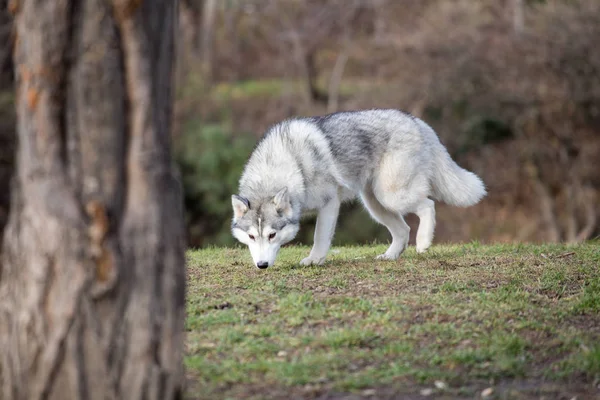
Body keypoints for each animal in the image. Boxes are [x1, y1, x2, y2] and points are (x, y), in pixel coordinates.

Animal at [231, 110, 488, 268]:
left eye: (272, 235)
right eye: (251, 236)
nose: (262, 265)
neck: (286, 162)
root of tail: (415, 120)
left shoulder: (330, 203)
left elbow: (319, 237)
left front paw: (315, 260)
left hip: (392, 196)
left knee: (428, 205)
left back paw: (423, 242)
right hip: (375, 204)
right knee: (403, 230)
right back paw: (390, 256)